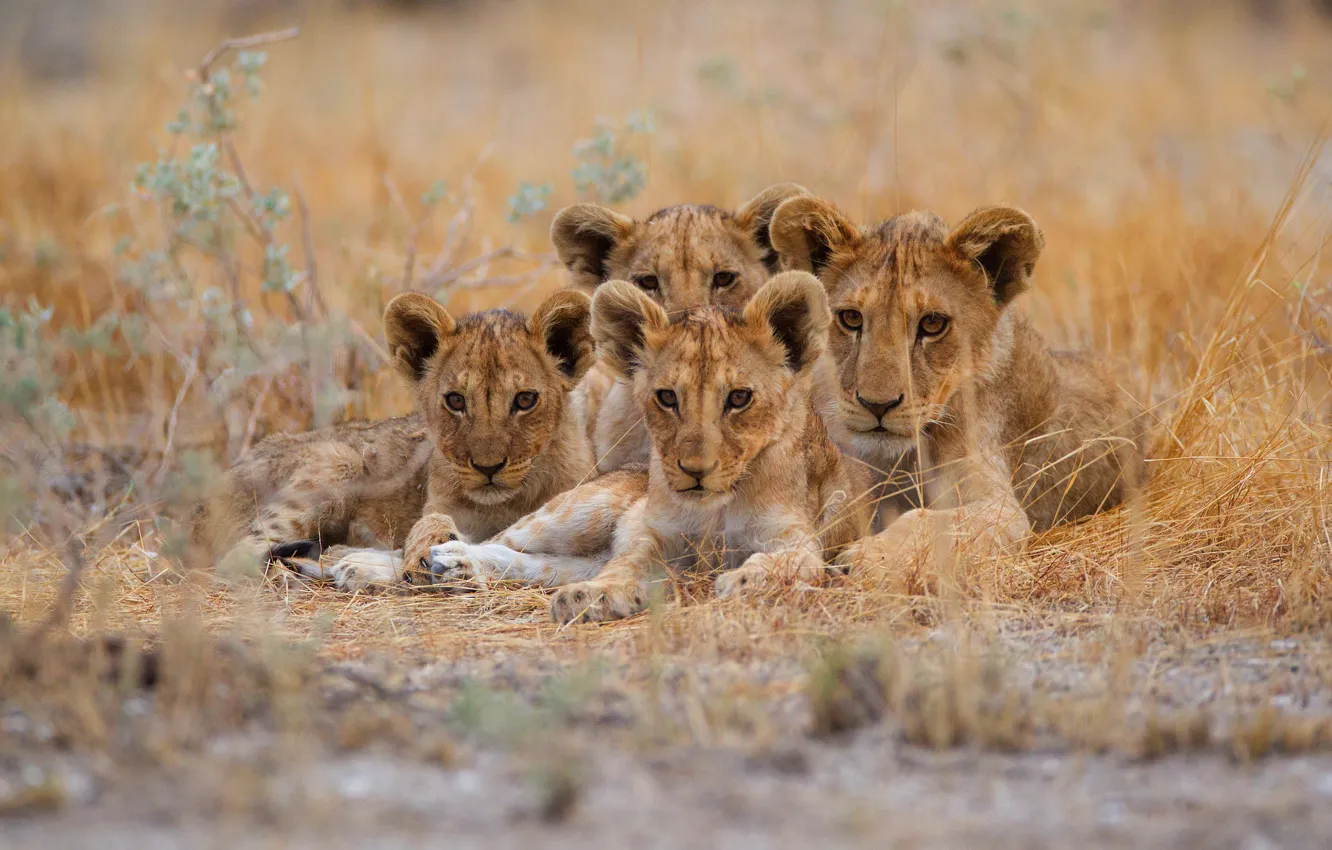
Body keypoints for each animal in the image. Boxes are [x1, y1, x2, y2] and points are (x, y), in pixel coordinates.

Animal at [192, 287, 597, 590]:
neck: (507, 502)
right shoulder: (443, 507)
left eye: (525, 400)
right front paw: (425, 556)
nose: (488, 468)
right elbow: (431, 529)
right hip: (338, 460)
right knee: (240, 555)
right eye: (455, 401)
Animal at [422, 271, 875, 623]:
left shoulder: (797, 539)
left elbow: (784, 563)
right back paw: (445, 558)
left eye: (739, 398)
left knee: (542, 565)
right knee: (503, 540)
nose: (695, 470)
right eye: (667, 397)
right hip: (580, 508)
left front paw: (742, 582)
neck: (717, 508)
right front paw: (591, 596)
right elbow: (626, 566)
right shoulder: (652, 534)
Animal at [766, 197, 1148, 575]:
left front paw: (867, 556)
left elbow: (929, 521)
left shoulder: (1001, 507)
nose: (877, 405)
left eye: (933, 323)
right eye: (851, 318)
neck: (898, 462)